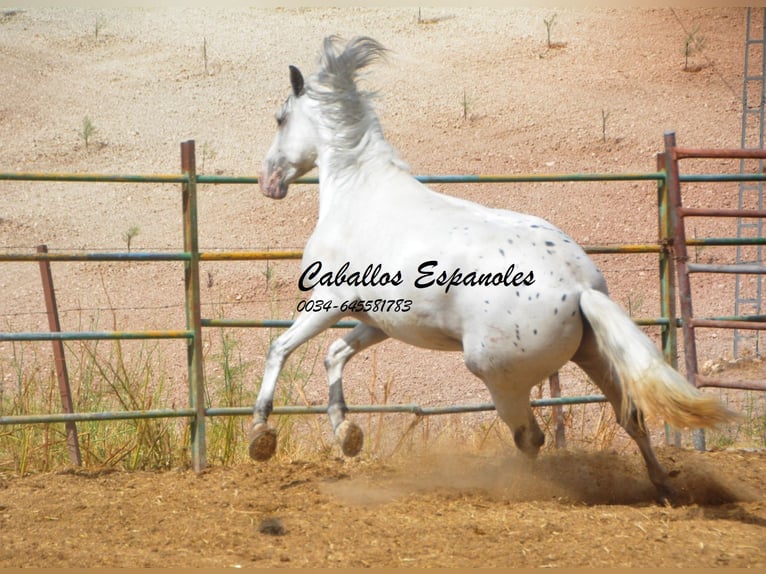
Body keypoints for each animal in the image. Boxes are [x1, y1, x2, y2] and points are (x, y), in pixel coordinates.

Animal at [250, 35, 737, 503]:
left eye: (279, 118)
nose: (268, 182)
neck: (358, 192)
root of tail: (580, 287)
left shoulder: (328, 301)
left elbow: (280, 348)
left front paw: (261, 434)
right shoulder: (379, 321)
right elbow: (335, 354)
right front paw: (347, 433)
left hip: (499, 377)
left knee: (531, 437)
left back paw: (524, 489)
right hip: (593, 355)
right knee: (630, 415)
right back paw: (663, 487)